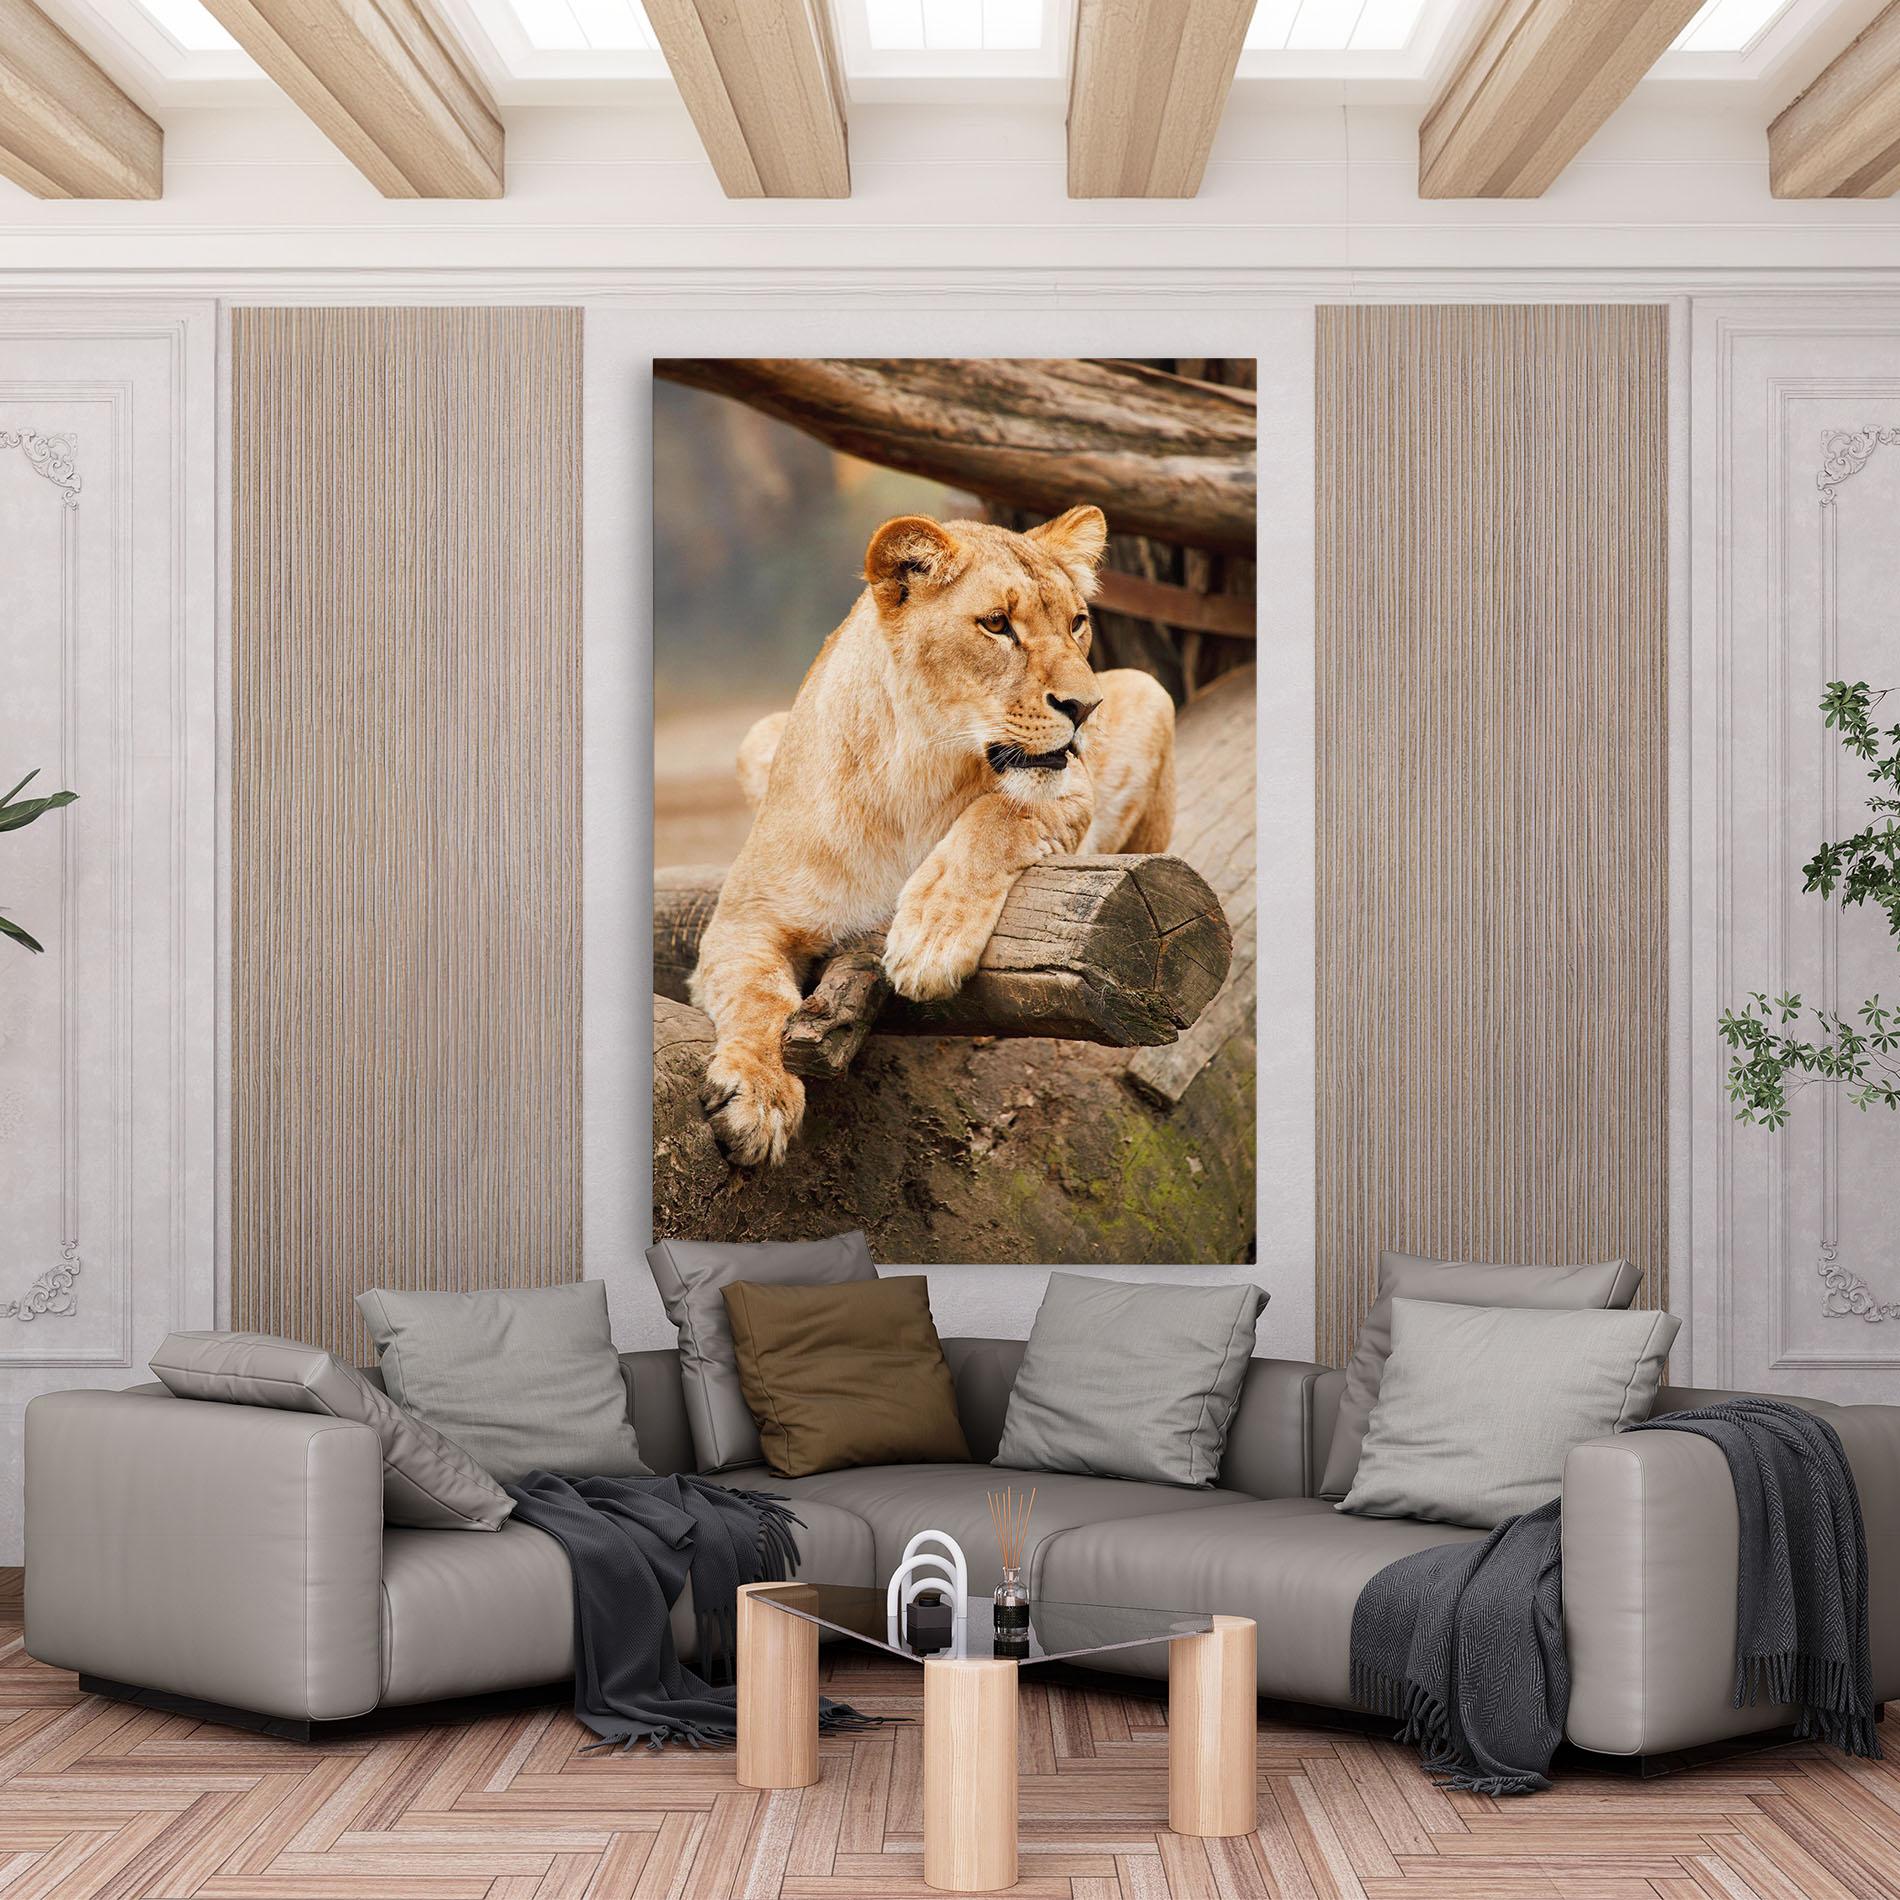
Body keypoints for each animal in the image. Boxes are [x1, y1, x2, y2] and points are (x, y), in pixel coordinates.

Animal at [689, 505, 1176, 1167]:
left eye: (1077, 623)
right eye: (997, 624)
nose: (1086, 708)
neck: (915, 773)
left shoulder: (1072, 789)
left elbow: (999, 814)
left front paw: (929, 940)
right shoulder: (744, 919)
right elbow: (756, 995)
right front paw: (759, 1097)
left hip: (1151, 692)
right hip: (758, 734)